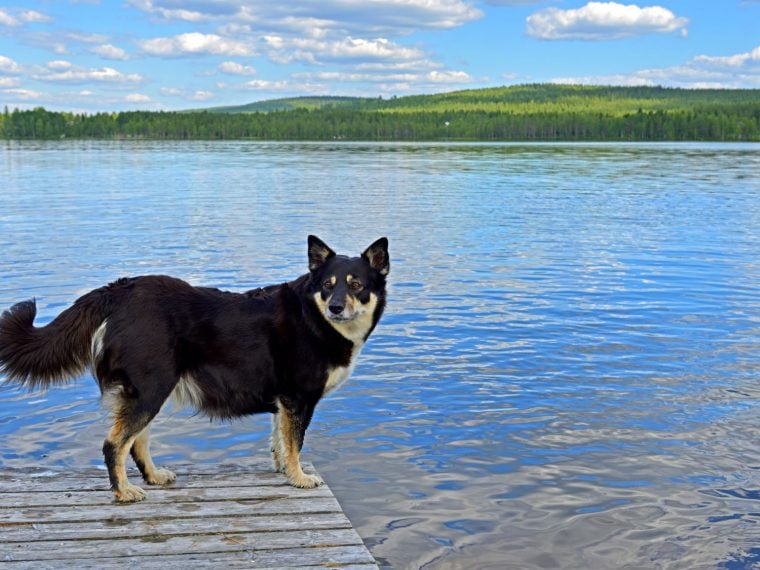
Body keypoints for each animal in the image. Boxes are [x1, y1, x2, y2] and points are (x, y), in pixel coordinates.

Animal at [0, 235, 388, 502]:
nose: (336, 307)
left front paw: (283, 471)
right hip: (151, 389)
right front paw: (300, 478)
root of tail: (119, 290)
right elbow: (295, 444)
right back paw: (124, 493)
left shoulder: (284, 403)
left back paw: (153, 477)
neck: (313, 317)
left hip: (148, 391)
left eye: (356, 285)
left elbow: (280, 441)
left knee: (136, 444)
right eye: (327, 285)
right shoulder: (298, 399)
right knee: (114, 444)